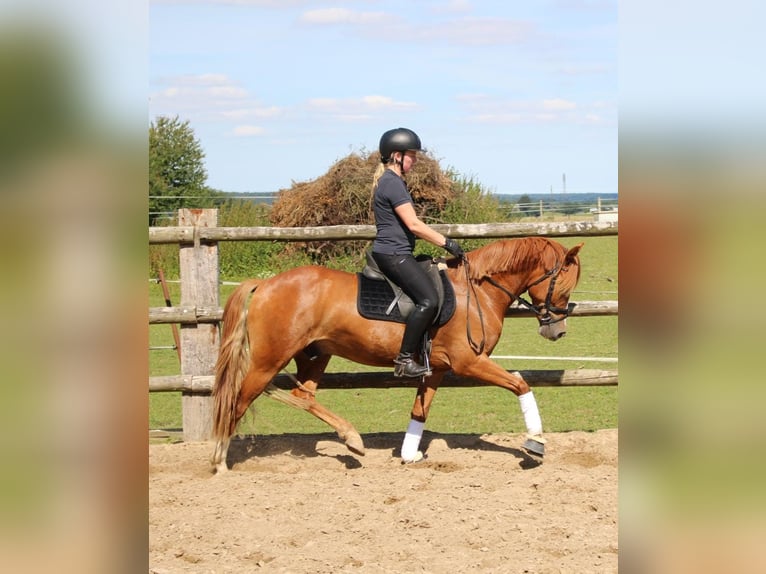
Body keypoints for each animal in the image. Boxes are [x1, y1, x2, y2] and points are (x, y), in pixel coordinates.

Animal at [210, 236, 584, 474]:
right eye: (564, 287)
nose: (558, 331)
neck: (476, 290)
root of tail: (265, 284)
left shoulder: (436, 368)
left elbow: (420, 410)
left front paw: (410, 454)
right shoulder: (469, 362)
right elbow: (521, 384)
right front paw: (535, 443)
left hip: (314, 355)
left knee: (303, 396)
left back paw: (352, 439)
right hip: (268, 360)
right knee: (237, 400)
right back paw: (219, 460)